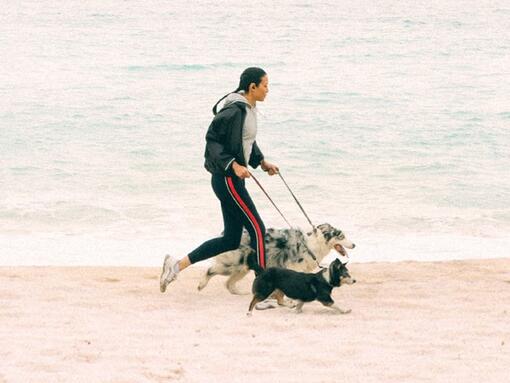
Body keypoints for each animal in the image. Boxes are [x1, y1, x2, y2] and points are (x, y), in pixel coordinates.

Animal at [197, 225, 356, 294]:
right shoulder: (294, 267)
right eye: (341, 236)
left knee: (229, 283)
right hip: (234, 263)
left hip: (243, 267)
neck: (314, 244)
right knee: (211, 270)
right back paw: (201, 285)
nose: (354, 244)